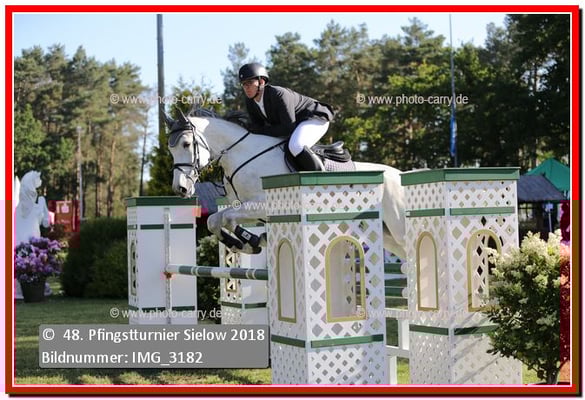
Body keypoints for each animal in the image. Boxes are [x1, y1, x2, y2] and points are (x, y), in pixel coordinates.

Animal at [165, 110, 406, 259]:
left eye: (186, 144)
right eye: (170, 149)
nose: (180, 189)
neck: (242, 153)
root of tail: (401, 175)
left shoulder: (263, 205)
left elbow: (226, 218)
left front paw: (253, 240)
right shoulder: (247, 208)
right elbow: (215, 220)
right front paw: (246, 243)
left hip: (398, 226)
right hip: (384, 234)